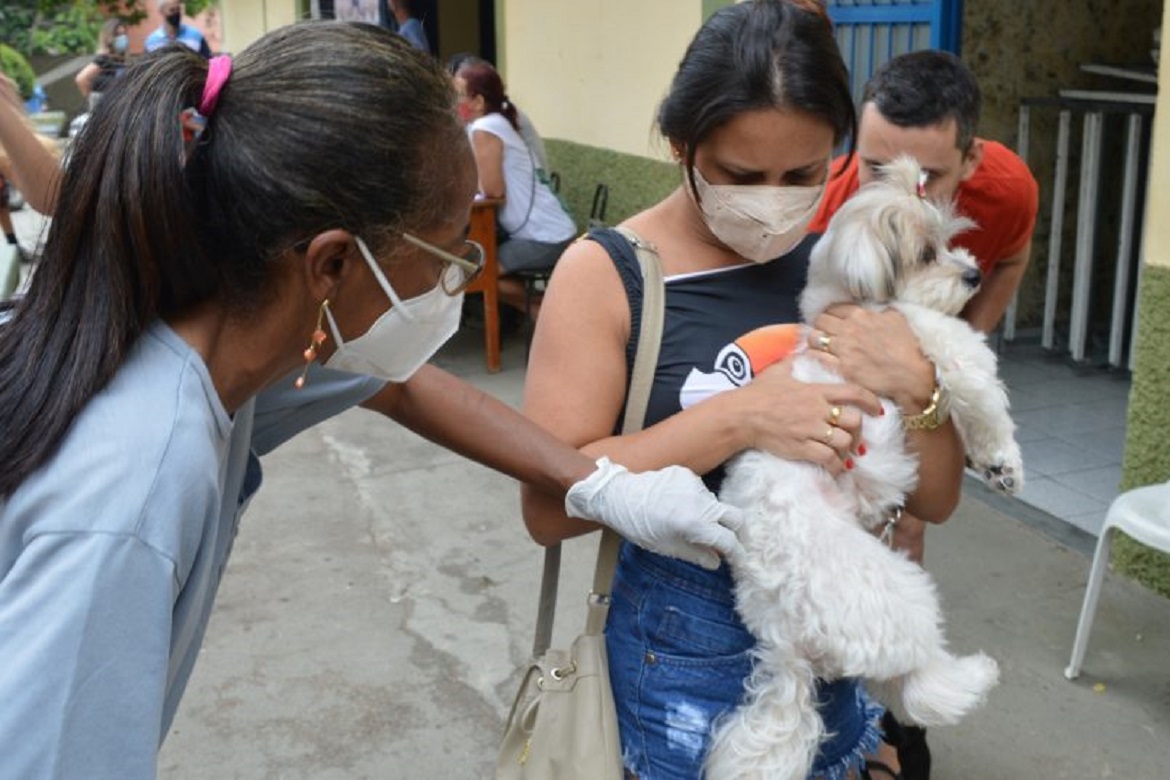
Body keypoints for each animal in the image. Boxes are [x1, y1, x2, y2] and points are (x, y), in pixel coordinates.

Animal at [702, 155, 1024, 776]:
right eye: (926, 253)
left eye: (952, 242)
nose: (973, 276)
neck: (846, 305)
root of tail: (789, 643)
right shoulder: (935, 339)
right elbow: (981, 392)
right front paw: (1003, 459)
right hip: (903, 593)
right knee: (918, 679)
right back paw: (971, 677)